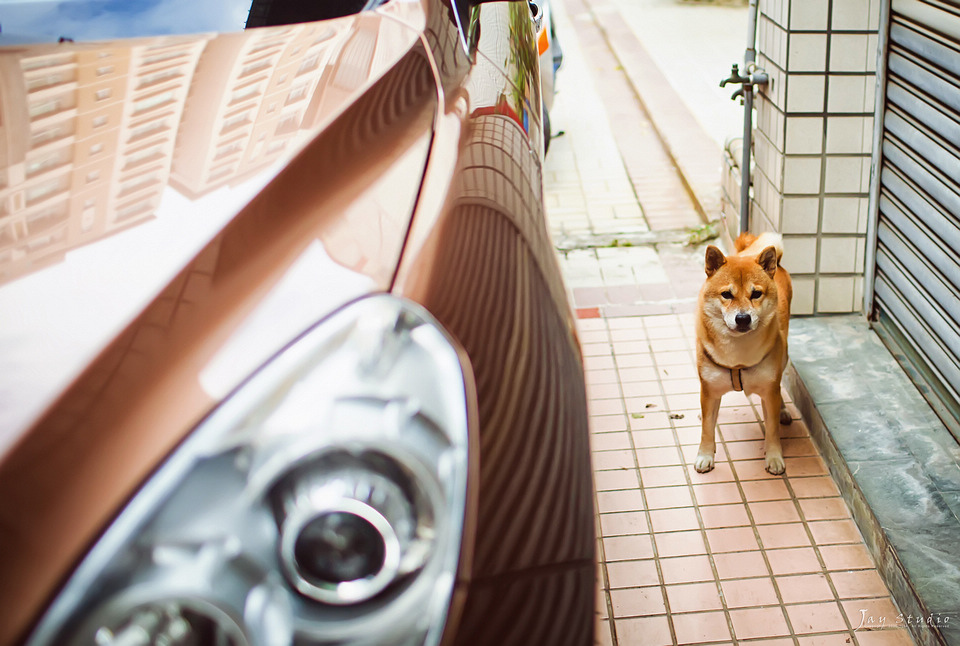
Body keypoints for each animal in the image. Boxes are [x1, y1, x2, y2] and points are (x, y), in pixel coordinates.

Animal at [692, 233, 792, 476]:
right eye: (726, 294)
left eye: (756, 294)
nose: (743, 318)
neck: (737, 357)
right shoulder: (708, 388)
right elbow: (707, 428)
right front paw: (705, 455)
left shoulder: (769, 388)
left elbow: (772, 429)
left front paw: (774, 457)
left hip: (783, 357)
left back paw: (783, 410)